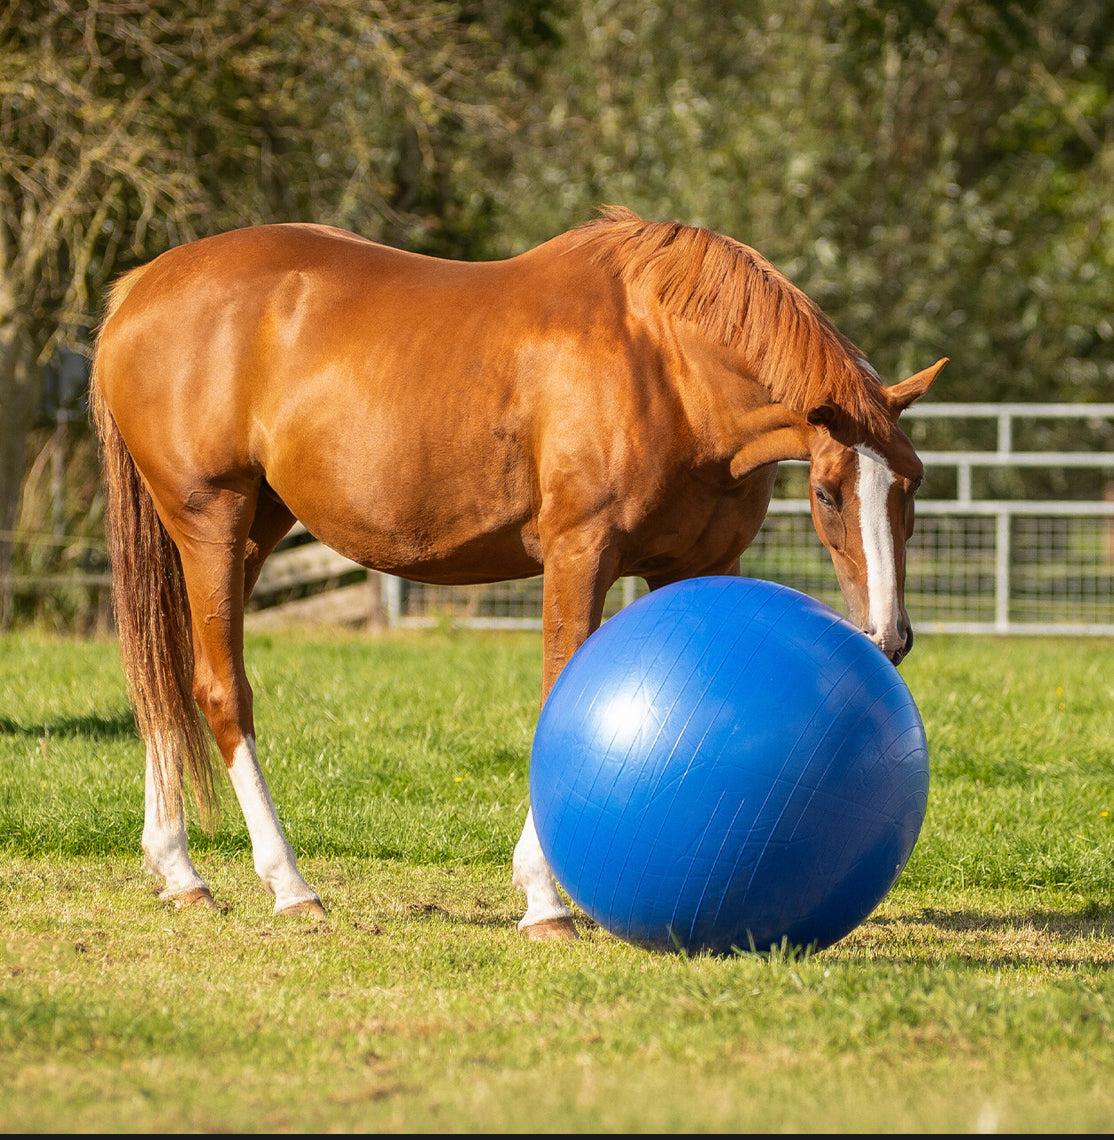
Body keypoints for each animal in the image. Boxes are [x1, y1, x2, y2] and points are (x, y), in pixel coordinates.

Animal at [89, 207, 945, 940]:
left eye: (913, 484)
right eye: (828, 492)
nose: (887, 637)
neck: (667, 366)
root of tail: (142, 289)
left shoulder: (698, 567)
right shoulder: (579, 554)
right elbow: (557, 687)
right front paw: (543, 901)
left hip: (253, 530)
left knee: (168, 677)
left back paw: (180, 872)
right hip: (212, 521)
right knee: (219, 689)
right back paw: (289, 885)